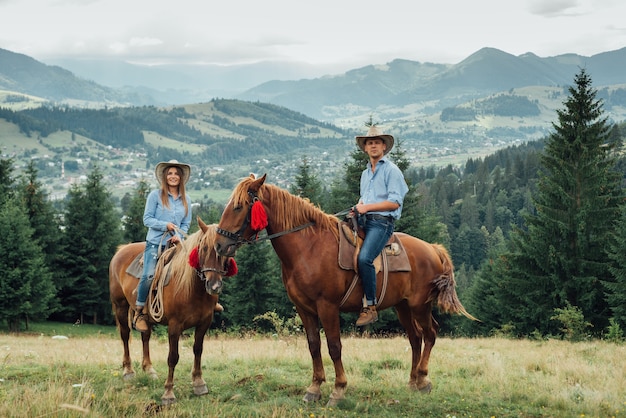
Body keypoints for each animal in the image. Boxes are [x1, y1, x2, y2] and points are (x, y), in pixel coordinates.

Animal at [107, 219, 234, 404]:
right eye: (204, 248)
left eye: (225, 251)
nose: (214, 286)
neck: (191, 288)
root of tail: (122, 250)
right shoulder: (175, 326)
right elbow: (173, 357)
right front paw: (168, 393)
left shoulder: (204, 322)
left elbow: (198, 349)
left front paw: (199, 383)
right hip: (120, 306)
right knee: (125, 335)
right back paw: (128, 371)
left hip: (147, 317)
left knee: (145, 336)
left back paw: (149, 369)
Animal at [212, 173, 476, 404]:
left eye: (238, 207)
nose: (219, 245)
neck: (308, 248)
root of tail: (433, 249)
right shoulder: (304, 308)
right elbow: (314, 345)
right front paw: (314, 388)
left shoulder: (327, 306)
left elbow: (334, 346)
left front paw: (338, 390)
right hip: (403, 306)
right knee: (415, 337)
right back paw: (412, 381)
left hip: (420, 305)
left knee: (430, 333)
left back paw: (422, 379)